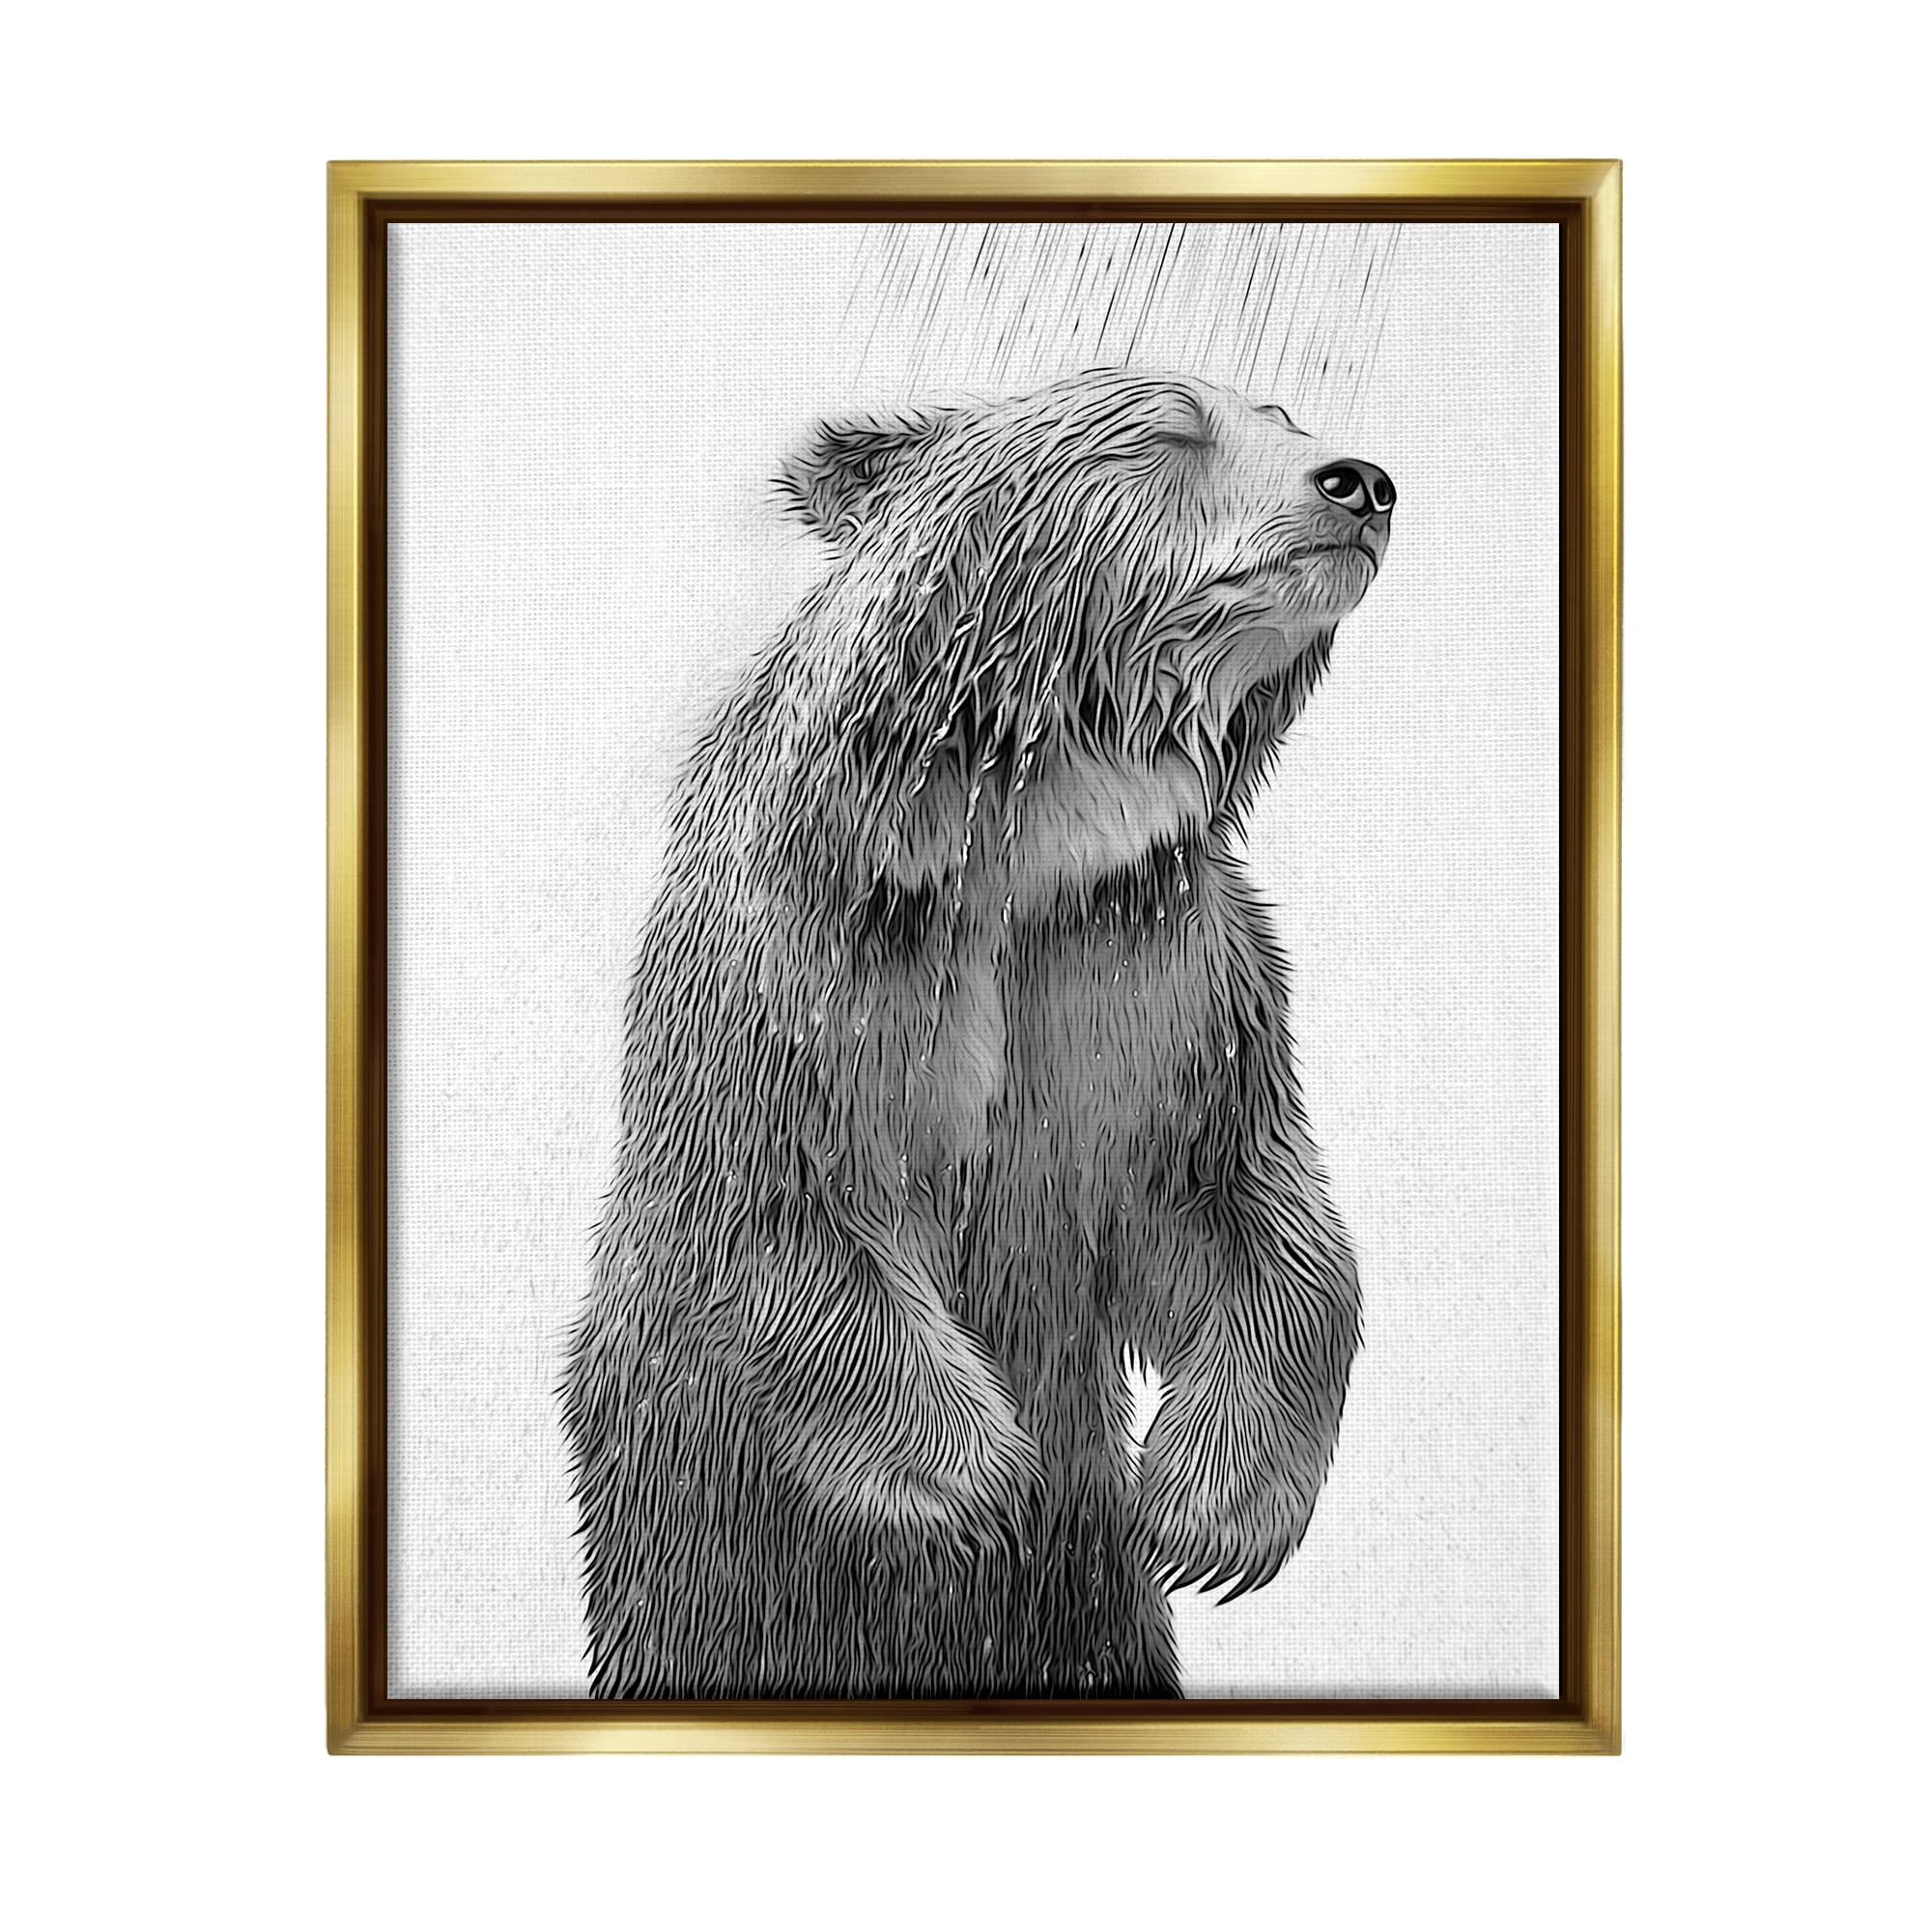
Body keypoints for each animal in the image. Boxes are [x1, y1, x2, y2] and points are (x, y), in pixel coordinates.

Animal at [562, 368, 1396, 1699]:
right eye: (1167, 429)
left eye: (1284, 419)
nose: (1359, 482)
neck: (1029, 840)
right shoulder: (821, 956)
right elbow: (784, 1196)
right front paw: (974, 1487)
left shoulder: (1155, 967)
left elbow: (1241, 1203)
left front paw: (1204, 1514)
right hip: (691, 1551)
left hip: (1090, 1623)